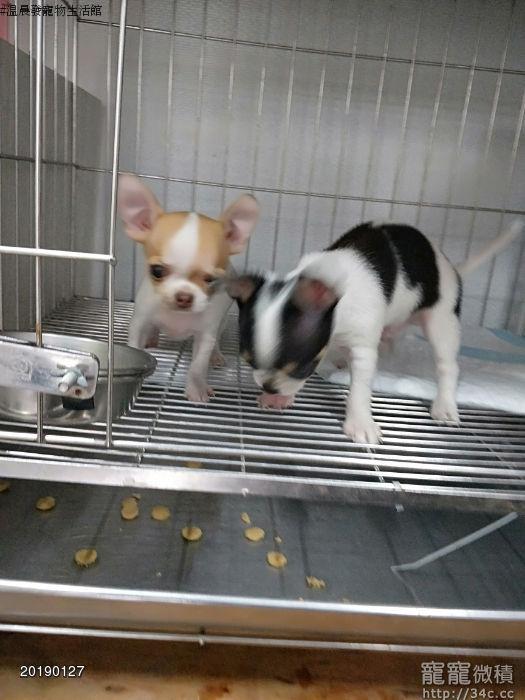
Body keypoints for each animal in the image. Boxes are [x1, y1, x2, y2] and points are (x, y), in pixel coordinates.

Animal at [118, 174, 259, 402]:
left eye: (211, 279)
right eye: (157, 271)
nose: (184, 296)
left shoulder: (205, 335)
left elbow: (197, 366)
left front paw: (197, 388)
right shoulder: (139, 322)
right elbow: (135, 345)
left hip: (221, 323)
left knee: (216, 340)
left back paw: (216, 356)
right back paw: (153, 338)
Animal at [226, 219, 523, 444]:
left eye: (302, 367)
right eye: (249, 362)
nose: (269, 386)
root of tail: (451, 267)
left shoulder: (362, 349)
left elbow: (359, 389)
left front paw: (359, 424)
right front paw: (281, 397)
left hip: (442, 320)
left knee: (448, 366)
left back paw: (445, 405)